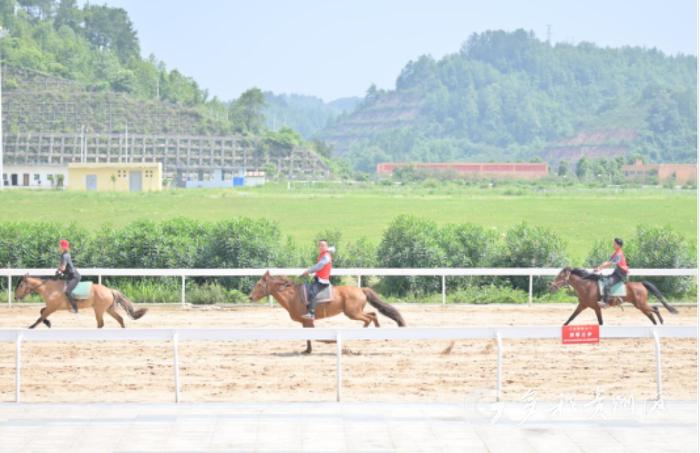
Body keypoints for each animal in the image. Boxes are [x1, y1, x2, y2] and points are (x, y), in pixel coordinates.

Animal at [14, 274, 148, 326]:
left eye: (20, 285)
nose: (15, 297)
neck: (49, 288)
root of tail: (109, 290)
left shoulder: (53, 307)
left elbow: (40, 317)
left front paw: (32, 327)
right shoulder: (51, 307)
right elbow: (41, 312)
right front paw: (48, 323)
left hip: (99, 310)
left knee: (101, 323)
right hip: (108, 309)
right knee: (120, 319)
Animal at [250, 270, 404, 352]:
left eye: (259, 284)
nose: (250, 297)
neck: (293, 295)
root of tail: (361, 289)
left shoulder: (308, 320)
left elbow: (317, 336)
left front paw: (329, 342)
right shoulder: (305, 322)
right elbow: (308, 337)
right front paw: (307, 350)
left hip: (352, 313)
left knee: (368, 318)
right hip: (356, 312)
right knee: (373, 314)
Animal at [548, 264, 680, 324]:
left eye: (560, 276)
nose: (551, 286)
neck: (587, 286)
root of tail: (641, 284)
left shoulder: (596, 307)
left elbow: (600, 322)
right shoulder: (582, 306)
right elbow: (570, 319)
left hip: (641, 304)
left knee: (655, 309)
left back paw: (661, 322)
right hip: (640, 305)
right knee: (651, 313)